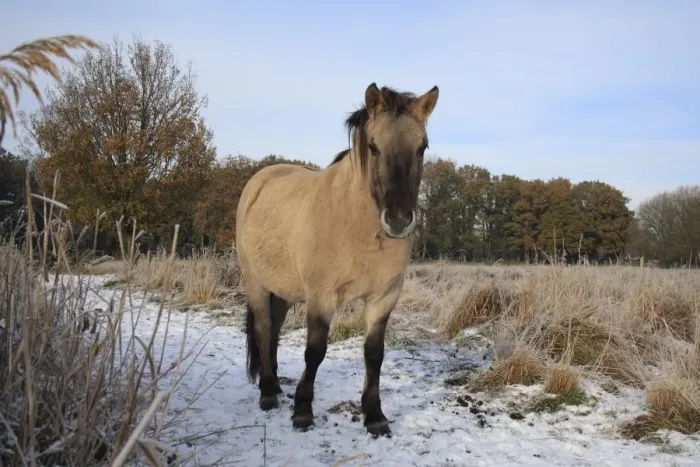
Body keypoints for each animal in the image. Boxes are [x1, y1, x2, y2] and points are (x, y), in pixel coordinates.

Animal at [236, 82, 440, 436]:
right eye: (373, 146)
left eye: (422, 147)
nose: (399, 221)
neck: (359, 227)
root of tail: (260, 179)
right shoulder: (321, 298)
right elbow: (315, 352)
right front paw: (303, 412)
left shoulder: (383, 298)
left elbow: (374, 354)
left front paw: (374, 415)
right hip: (255, 282)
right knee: (262, 328)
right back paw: (268, 393)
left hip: (283, 289)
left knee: (273, 330)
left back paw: (274, 384)